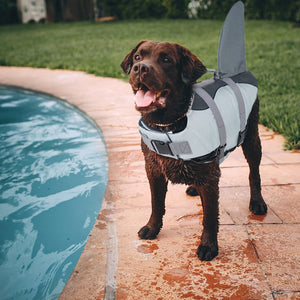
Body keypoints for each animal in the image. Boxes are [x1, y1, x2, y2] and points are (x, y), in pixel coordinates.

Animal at [120, 41, 266, 262]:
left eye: (166, 59)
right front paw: (152, 228)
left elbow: (210, 216)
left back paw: (257, 202)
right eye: (138, 57)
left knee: (254, 172)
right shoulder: (153, 170)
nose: (140, 68)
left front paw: (208, 245)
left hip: (251, 138)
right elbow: (156, 203)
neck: (166, 126)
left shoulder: (209, 176)